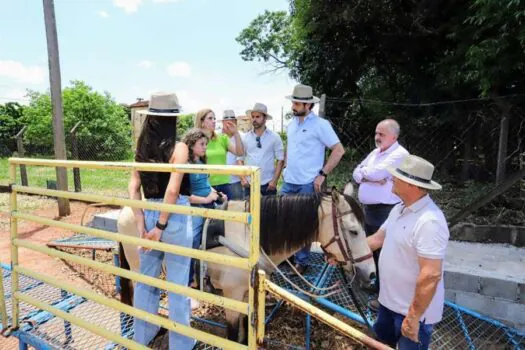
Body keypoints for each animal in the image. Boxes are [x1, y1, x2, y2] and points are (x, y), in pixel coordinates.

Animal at [116, 183, 374, 344]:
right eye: (353, 231)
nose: (371, 275)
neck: (248, 237)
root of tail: (125, 209)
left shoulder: (245, 295)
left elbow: (241, 334)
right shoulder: (231, 295)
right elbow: (232, 335)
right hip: (139, 267)